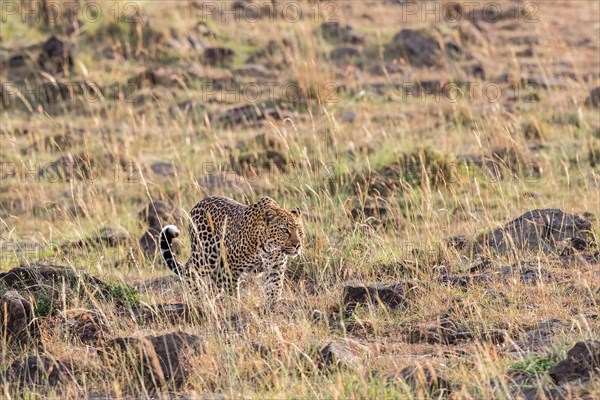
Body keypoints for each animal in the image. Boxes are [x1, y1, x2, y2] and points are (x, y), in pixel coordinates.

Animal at [158, 195, 302, 304]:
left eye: (299, 231)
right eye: (285, 231)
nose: (298, 245)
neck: (268, 247)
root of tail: (197, 205)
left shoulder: (275, 268)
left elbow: (274, 288)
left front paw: (271, 307)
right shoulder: (230, 268)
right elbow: (233, 293)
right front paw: (235, 308)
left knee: (213, 285)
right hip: (207, 256)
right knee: (189, 270)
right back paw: (199, 300)